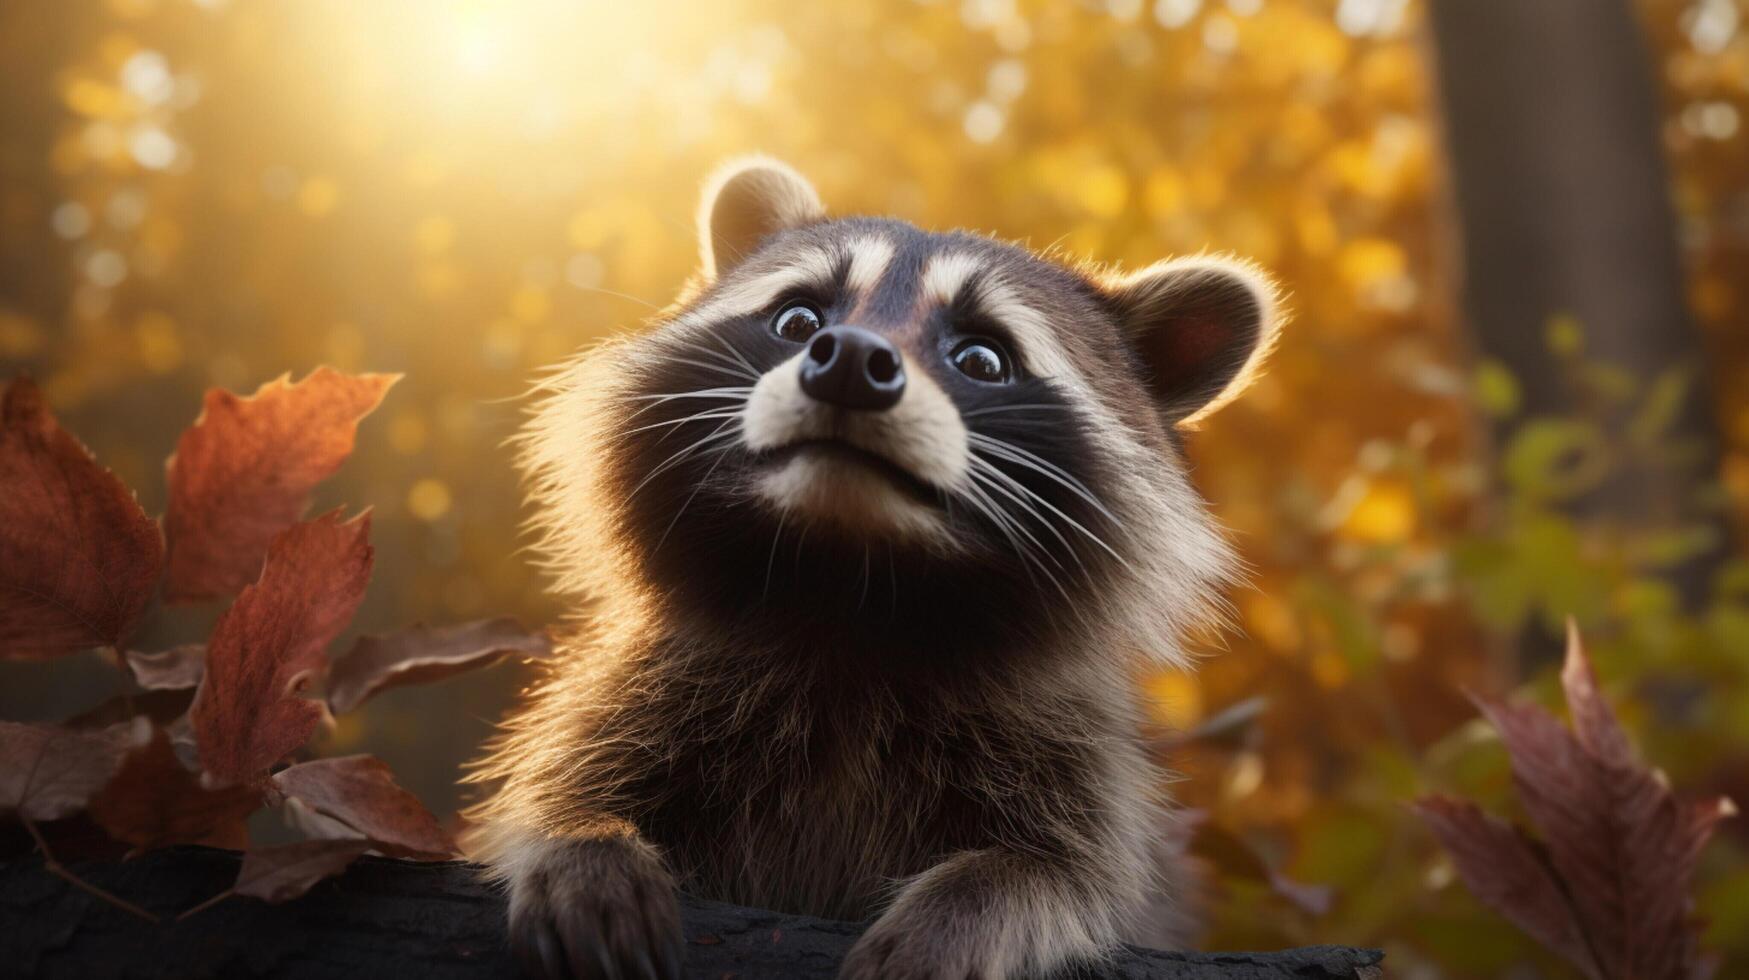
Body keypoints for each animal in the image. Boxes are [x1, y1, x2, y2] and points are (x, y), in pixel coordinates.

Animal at [465, 156, 1287, 973]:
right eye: (798, 321)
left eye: (982, 358)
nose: (853, 363)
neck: (849, 587)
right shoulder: (646, 691)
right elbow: (567, 785)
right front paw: (581, 837)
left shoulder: (1075, 760)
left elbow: (1067, 874)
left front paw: (974, 902)